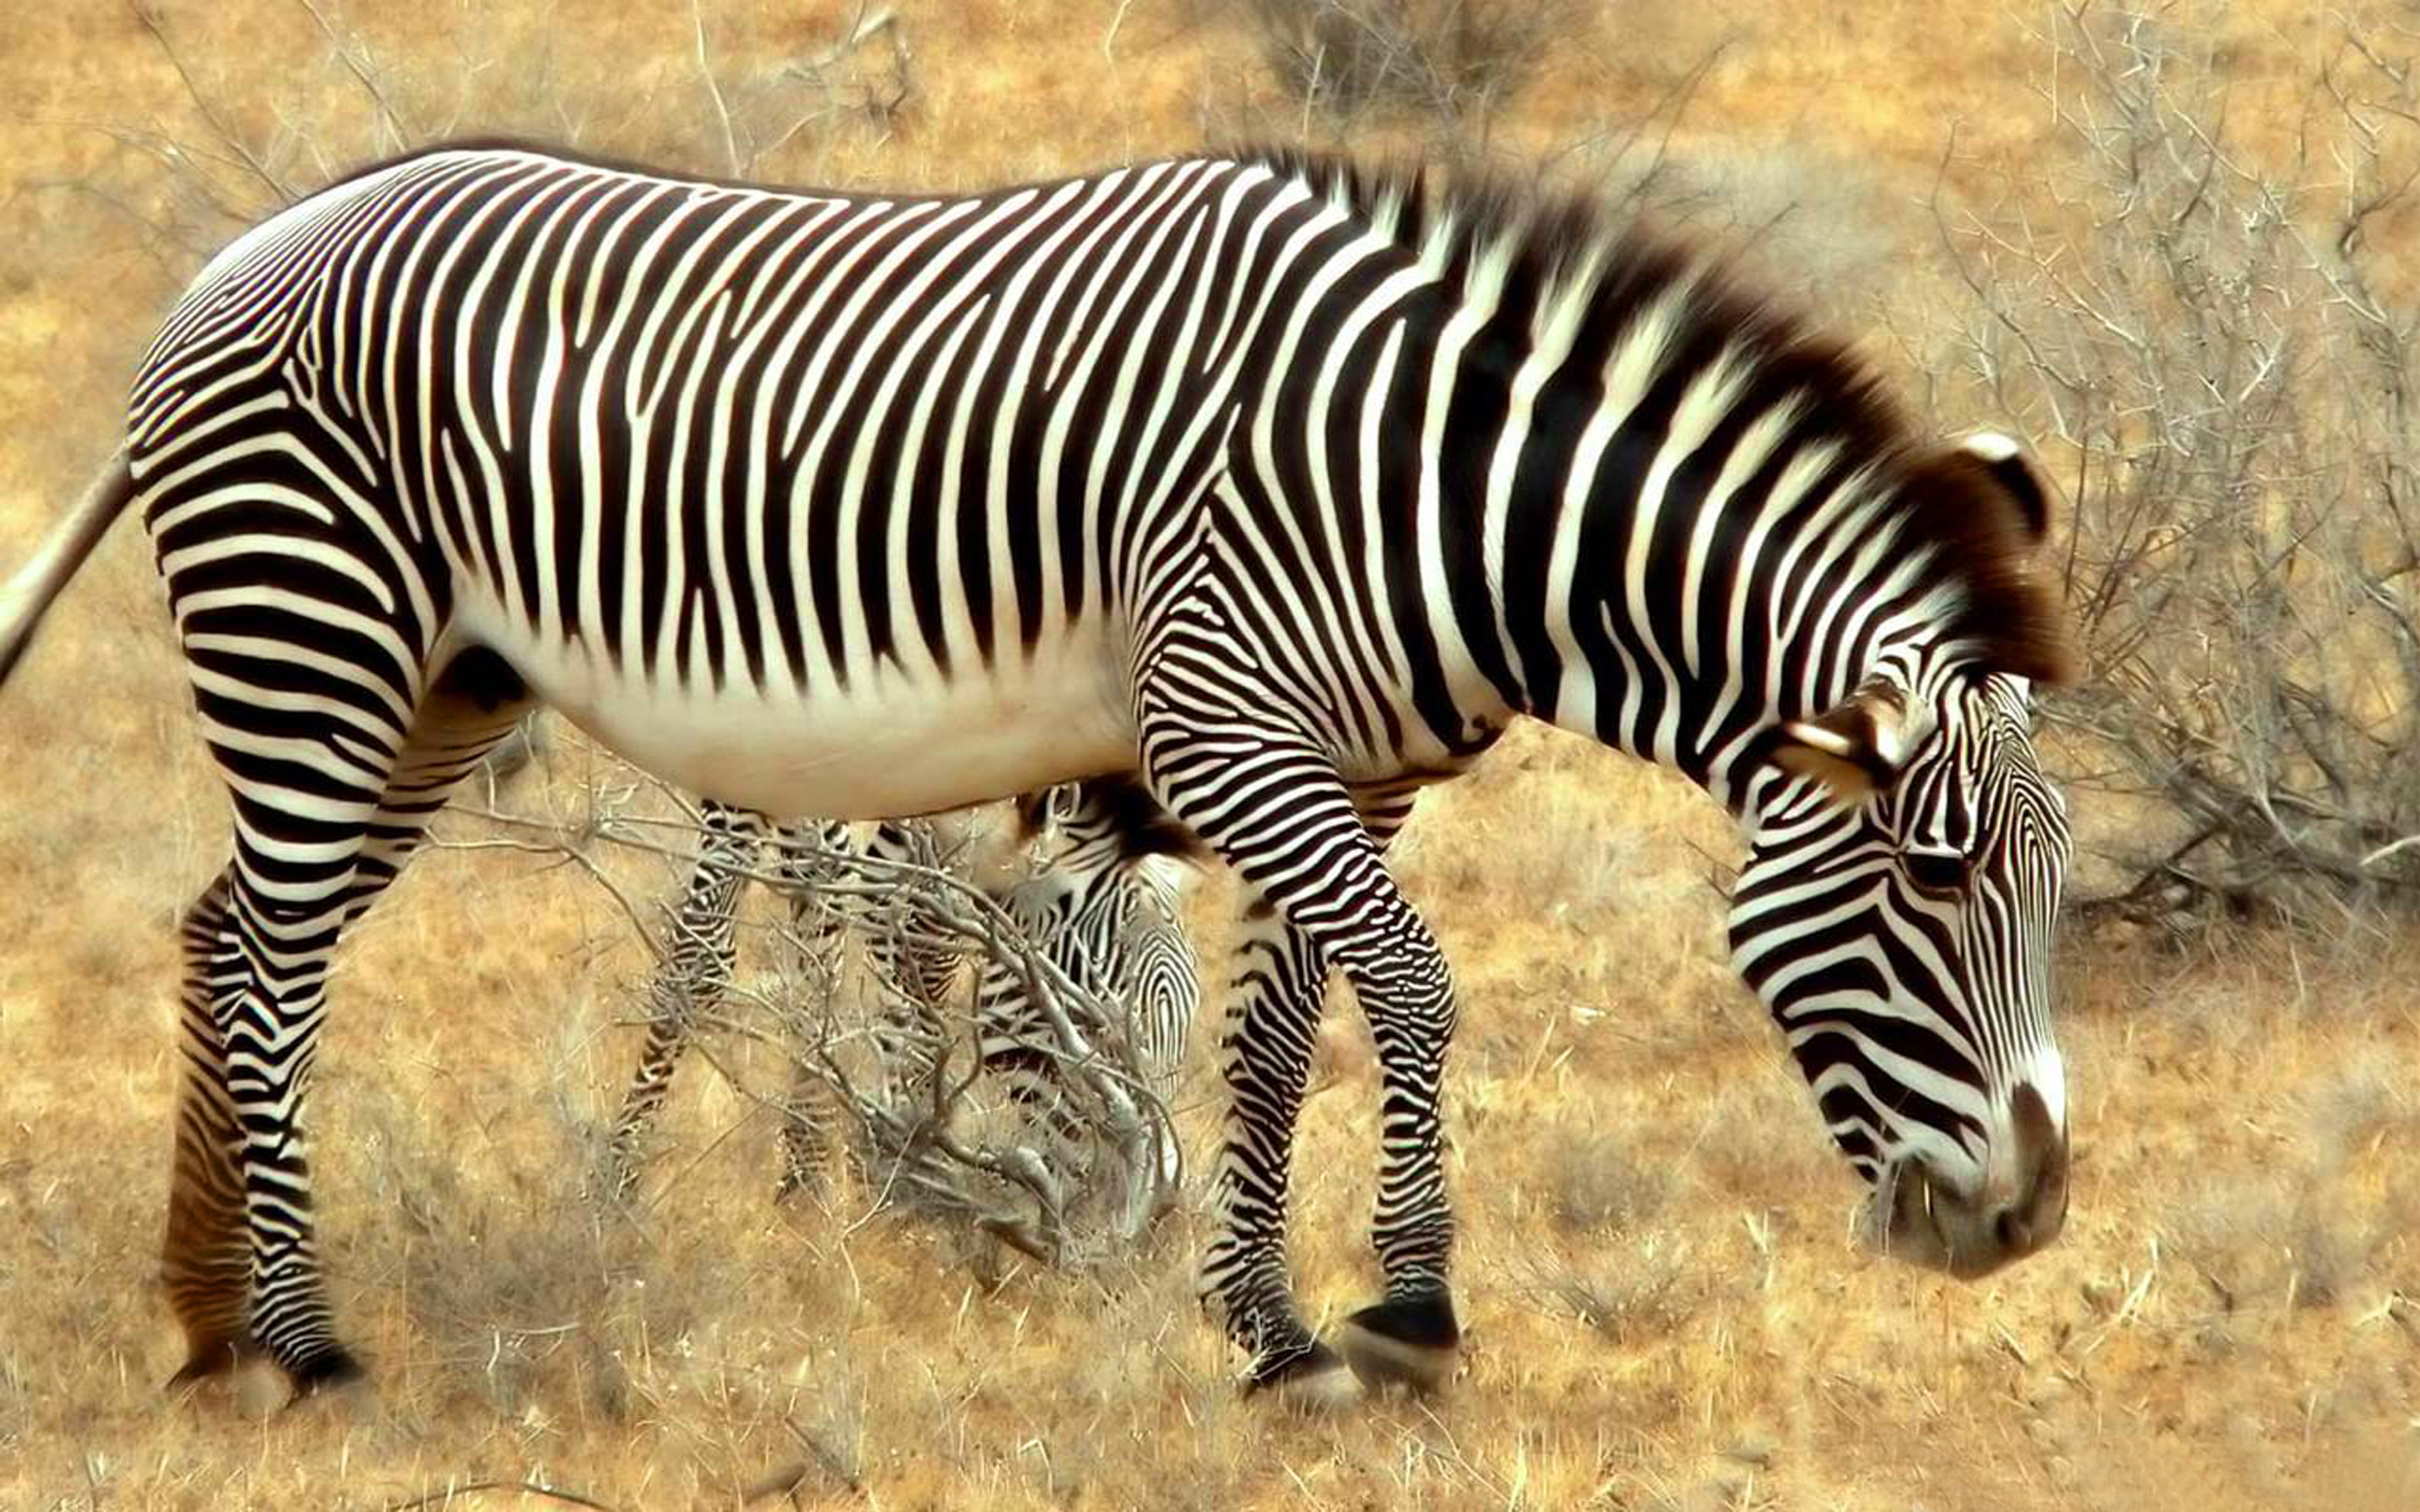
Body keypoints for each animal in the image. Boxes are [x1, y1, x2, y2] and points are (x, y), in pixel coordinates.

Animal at [0, 142, 2077, 1406]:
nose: (2025, 1223)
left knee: (223, 932)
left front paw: (1263, 1325)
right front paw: (1407, 1309)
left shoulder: (1337, 768)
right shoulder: (1223, 725)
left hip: (431, 685)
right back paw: (302, 1335)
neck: (1440, 496)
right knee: (274, 963)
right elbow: (1414, 986)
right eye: (1934, 879)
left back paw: (205, 1311)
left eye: (2054, 883)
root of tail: (246, 244)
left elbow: (1275, 1033)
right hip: (317, 632)